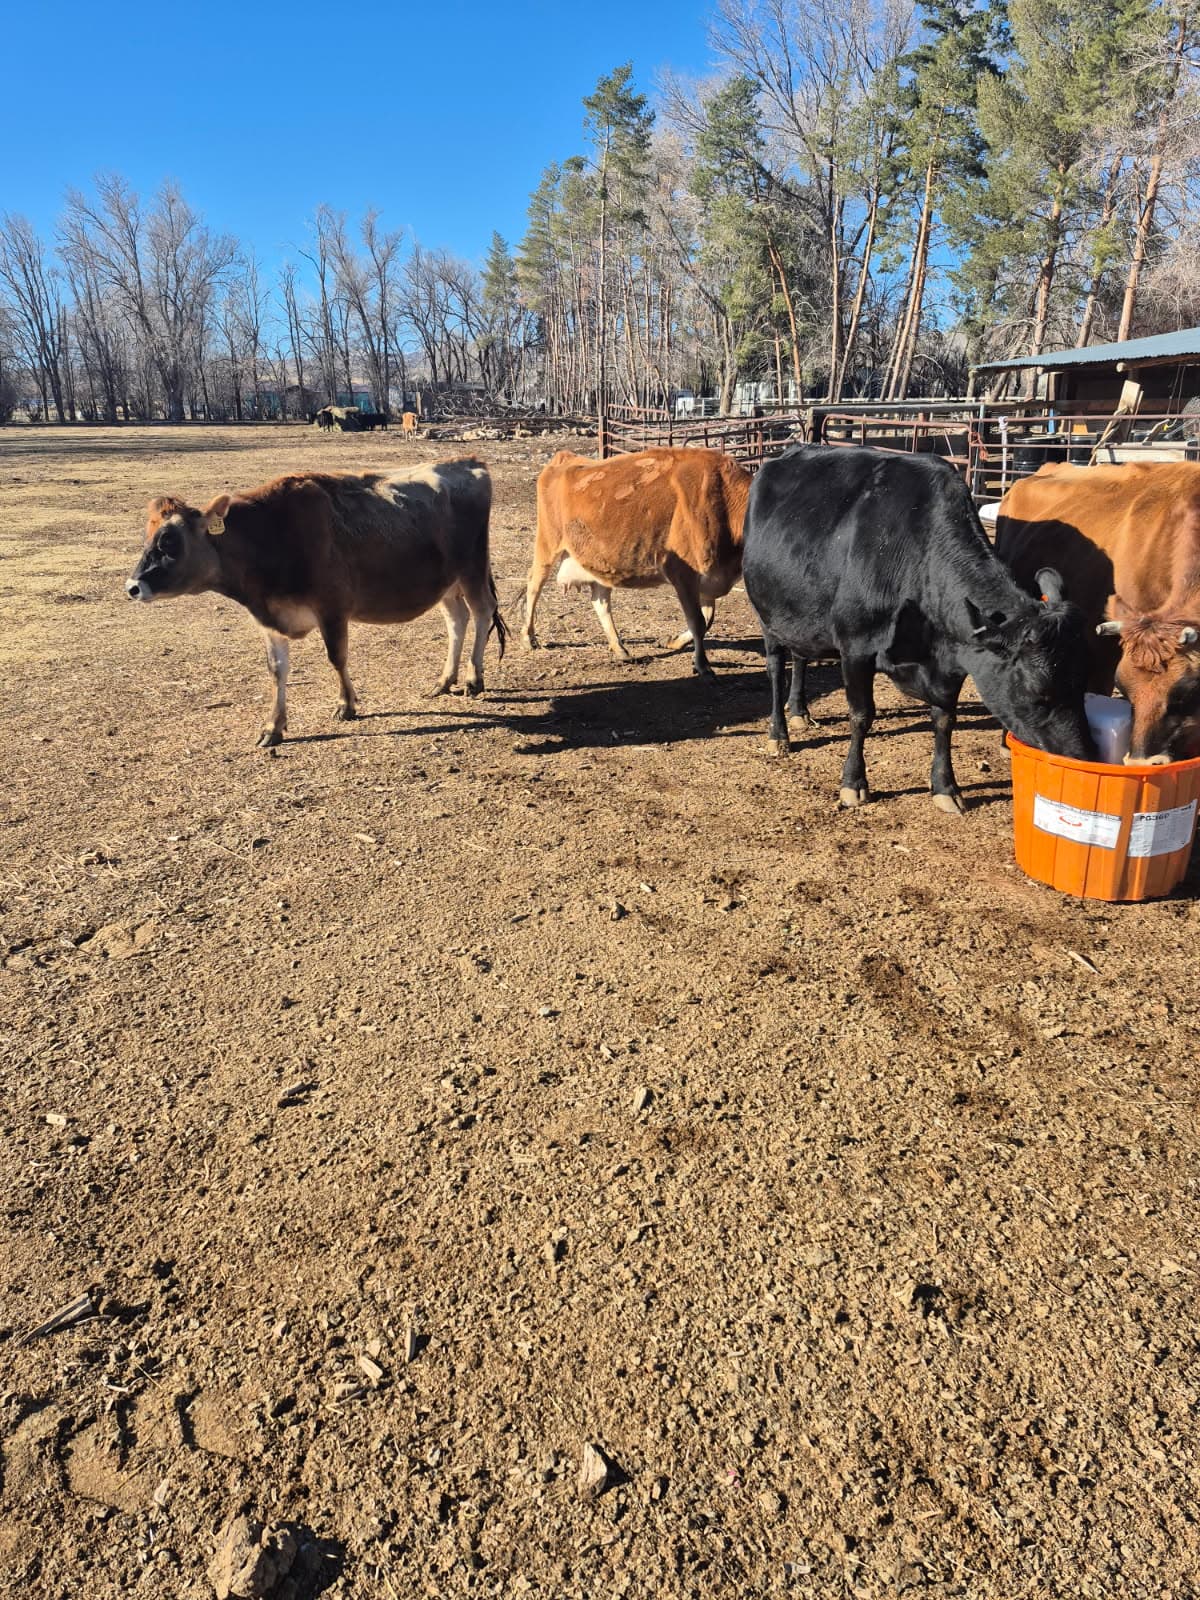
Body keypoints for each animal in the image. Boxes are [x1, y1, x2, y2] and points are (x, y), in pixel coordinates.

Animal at [125, 459, 505, 748]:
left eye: (169, 542)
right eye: (148, 538)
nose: (133, 587)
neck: (271, 536)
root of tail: (468, 462)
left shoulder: (332, 607)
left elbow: (337, 657)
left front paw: (346, 705)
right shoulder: (269, 618)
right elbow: (276, 670)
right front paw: (273, 727)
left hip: (472, 567)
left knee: (481, 610)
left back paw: (473, 678)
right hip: (447, 582)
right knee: (457, 620)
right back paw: (444, 680)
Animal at [522, 447, 751, 677]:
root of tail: (565, 457)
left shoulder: (709, 577)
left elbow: (708, 619)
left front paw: (673, 642)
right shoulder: (682, 573)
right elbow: (698, 621)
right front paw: (703, 665)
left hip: (600, 561)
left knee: (600, 601)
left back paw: (620, 649)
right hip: (547, 544)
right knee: (534, 585)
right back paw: (528, 637)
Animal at [742, 446, 1094, 813]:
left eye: (1085, 680)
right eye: (1038, 693)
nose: (1081, 758)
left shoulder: (951, 659)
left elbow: (944, 719)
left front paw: (945, 787)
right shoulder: (856, 647)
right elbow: (861, 715)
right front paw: (854, 783)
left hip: (800, 613)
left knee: (801, 657)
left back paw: (799, 712)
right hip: (766, 615)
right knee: (775, 668)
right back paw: (779, 735)